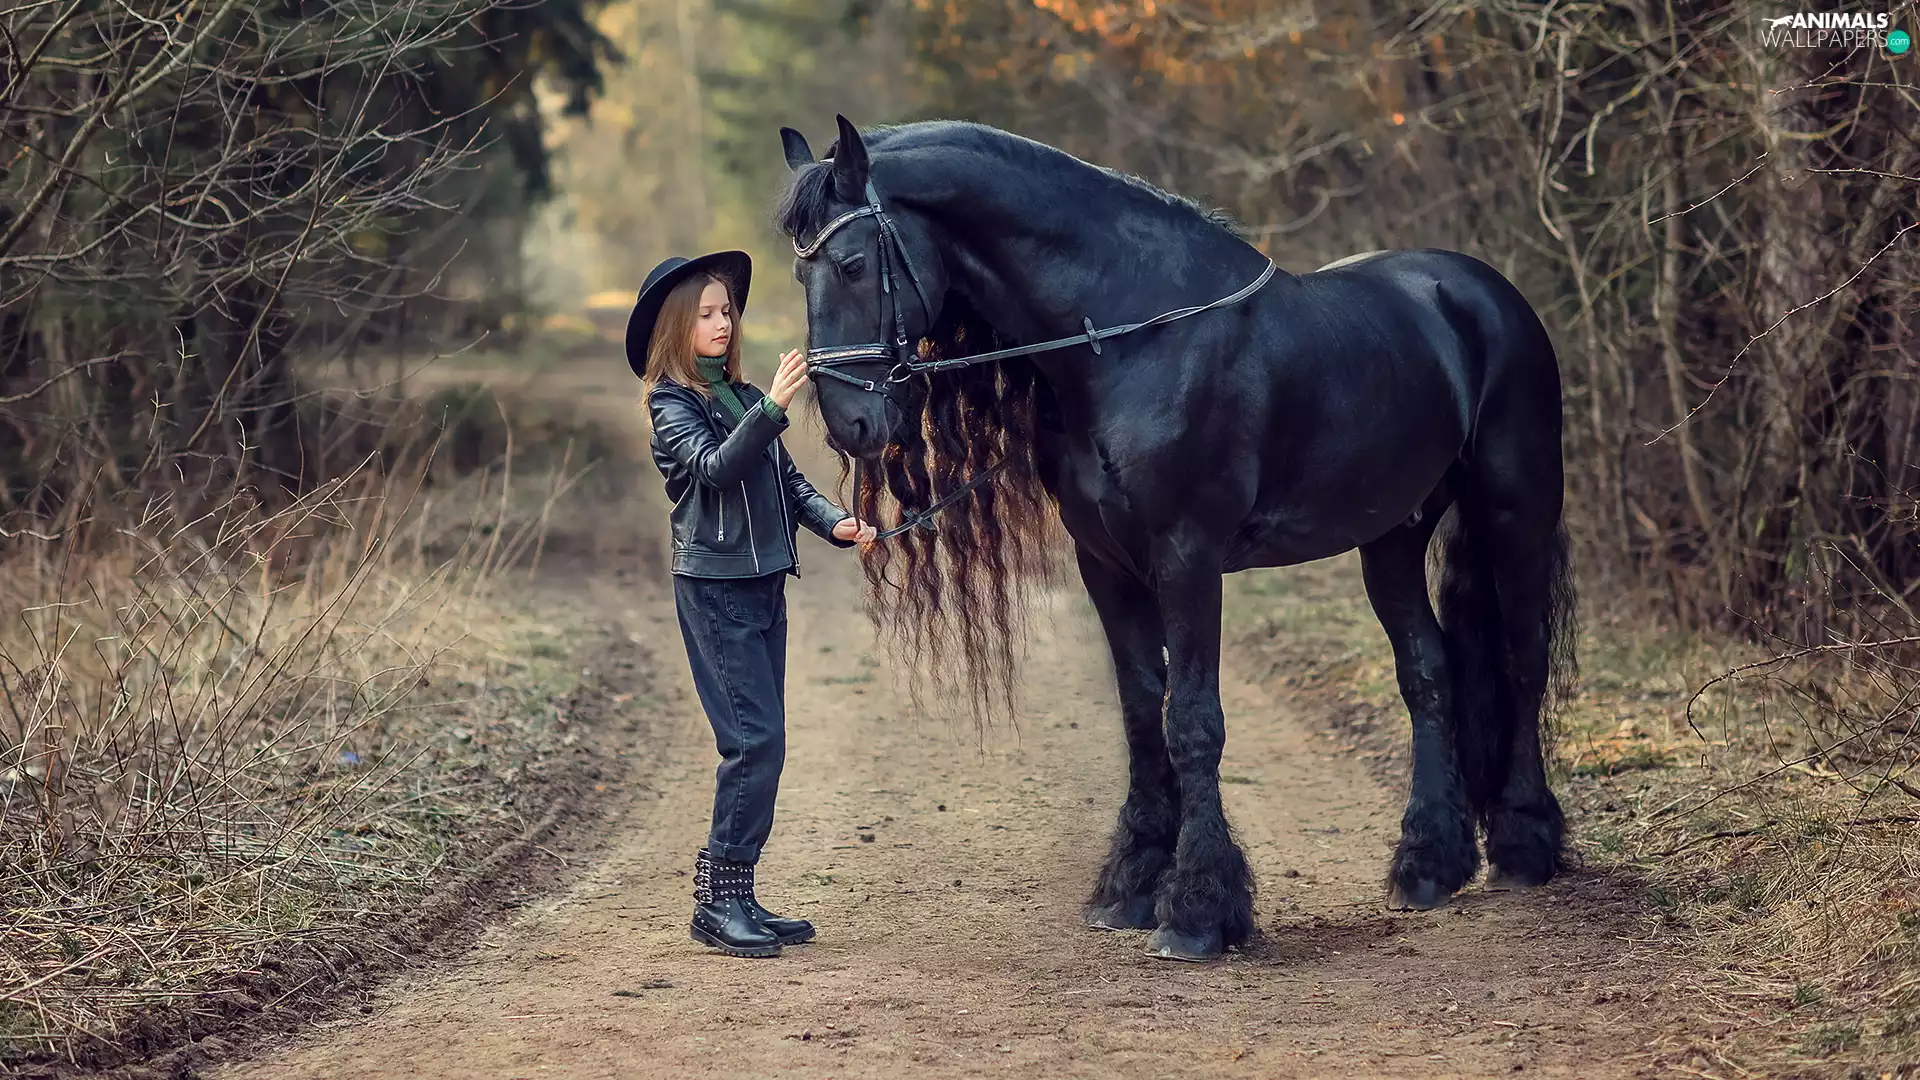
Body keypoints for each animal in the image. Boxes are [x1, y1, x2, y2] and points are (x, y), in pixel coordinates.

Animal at [774, 115, 1576, 962]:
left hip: (1514, 511)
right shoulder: (1106, 564)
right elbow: (1141, 713)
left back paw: (1525, 843)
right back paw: (1428, 864)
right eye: (800, 274)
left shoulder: (1187, 558)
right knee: (1429, 672)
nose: (851, 423)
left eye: (852, 265)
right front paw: (1130, 886)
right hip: (1392, 535)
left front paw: (1198, 909)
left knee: (1523, 662)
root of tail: (1482, 292)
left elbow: (1192, 721)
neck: (1133, 339)